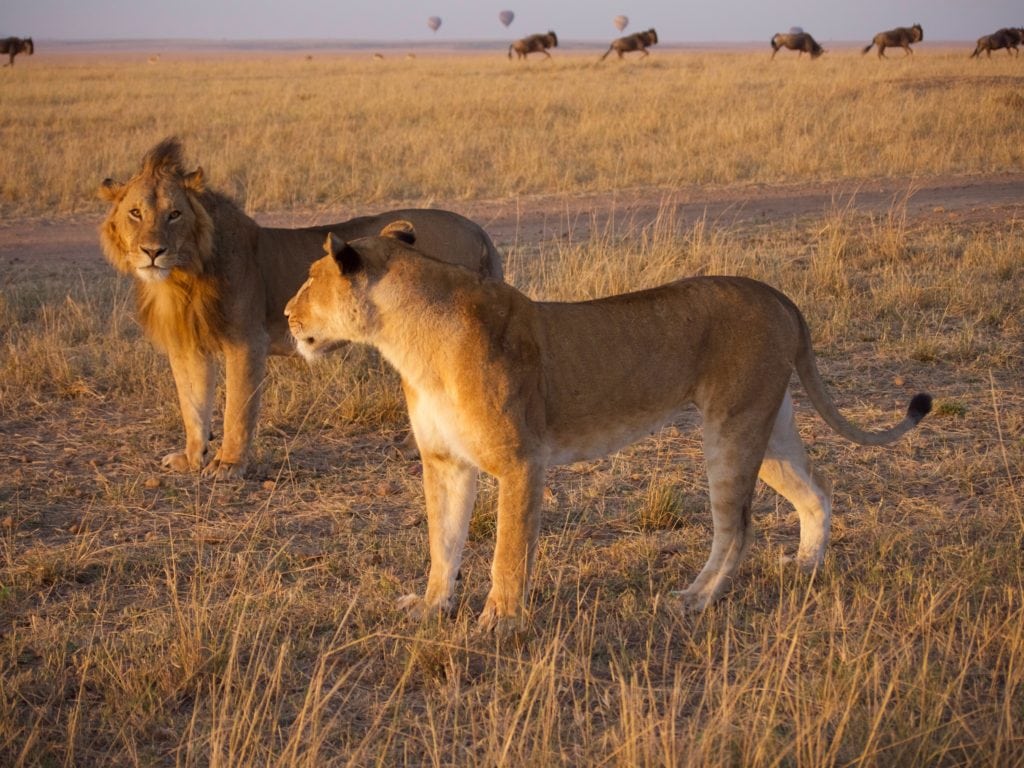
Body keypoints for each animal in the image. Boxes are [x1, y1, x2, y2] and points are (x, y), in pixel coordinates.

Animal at [99, 137, 503, 475]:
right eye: (135, 213)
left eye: (174, 214)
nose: (153, 251)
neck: (182, 277)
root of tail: (477, 229)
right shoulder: (187, 346)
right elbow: (192, 406)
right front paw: (190, 458)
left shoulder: (246, 341)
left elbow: (237, 410)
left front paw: (228, 465)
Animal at [284, 222, 933, 630]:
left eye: (310, 278)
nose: (288, 315)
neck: (407, 341)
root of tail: (777, 294)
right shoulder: (445, 463)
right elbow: (442, 544)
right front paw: (432, 608)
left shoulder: (521, 461)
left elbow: (508, 551)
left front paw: (497, 622)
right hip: (766, 424)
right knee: (817, 490)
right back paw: (804, 567)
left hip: (730, 430)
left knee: (737, 527)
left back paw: (695, 600)